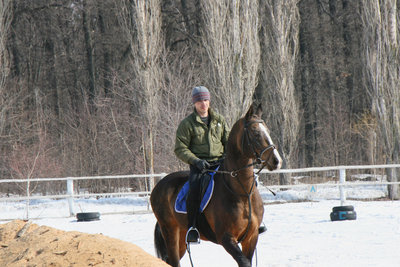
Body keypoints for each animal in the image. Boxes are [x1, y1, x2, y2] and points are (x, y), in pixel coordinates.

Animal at [148, 103, 282, 266]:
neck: (242, 193)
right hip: (170, 231)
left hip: (181, 234)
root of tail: (158, 186)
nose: (276, 161)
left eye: (267, 131)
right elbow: (244, 262)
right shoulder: (226, 238)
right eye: (255, 133)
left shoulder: (251, 237)